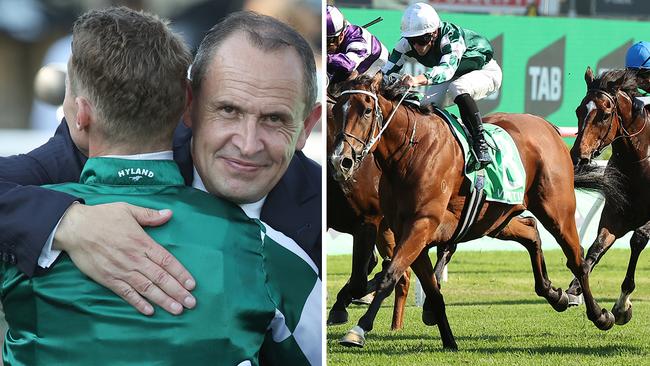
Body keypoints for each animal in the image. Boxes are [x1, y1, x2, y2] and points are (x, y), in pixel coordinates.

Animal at [330, 73, 612, 350]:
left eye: (367, 110)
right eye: (335, 110)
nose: (340, 161)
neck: (410, 151)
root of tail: (547, 126)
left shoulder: (420, 224)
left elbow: (390, 275)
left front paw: (358, 330)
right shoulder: (406, 230)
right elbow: (431, 289)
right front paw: (448, 339)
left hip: (557, 212)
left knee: (577, 260)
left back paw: (600, 315)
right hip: (494, 218)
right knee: (531, 230)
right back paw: (555, 295)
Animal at [564, 67, 644, 324]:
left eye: (605, 115)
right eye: (579, 110)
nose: (578, 156)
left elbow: (637, 240)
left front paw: (622, 306)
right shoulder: (615, 213)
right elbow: (596, 247)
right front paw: (574, 289)